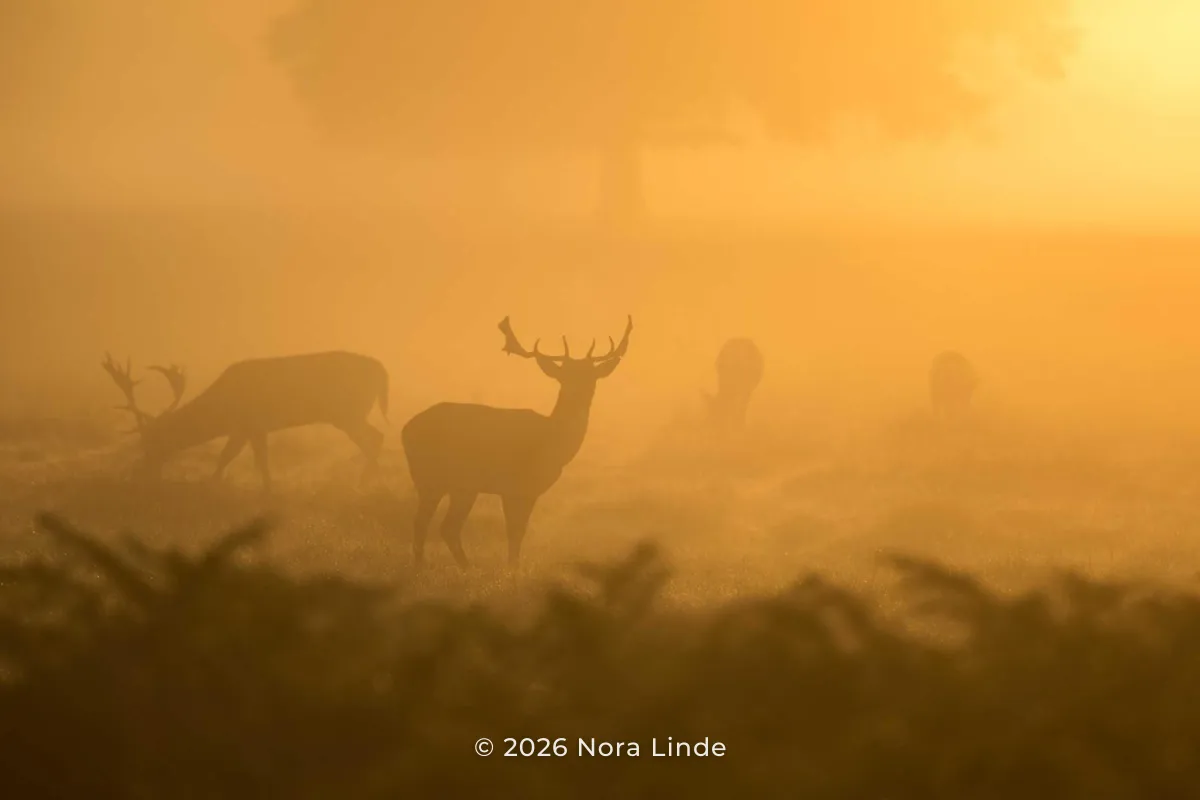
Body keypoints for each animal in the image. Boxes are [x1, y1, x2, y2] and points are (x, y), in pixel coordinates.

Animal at [101, 351, 389, 492]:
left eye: (153, 442)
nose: (139, 473)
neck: (222, 409)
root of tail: (382, 369)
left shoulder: (247, 424)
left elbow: (228, 456)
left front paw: (211, 484)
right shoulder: (253, 428)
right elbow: (258, 458)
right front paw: (267, 486)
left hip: (348, 412)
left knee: (375, 437)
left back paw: (365, 482)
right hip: (350, 413)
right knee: (375, 436)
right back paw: (368, 480)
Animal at [401, 315, 633, 569]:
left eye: (591, 376)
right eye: (564, 376)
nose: (579, 394)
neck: (552, 444)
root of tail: (406, 430)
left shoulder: (524, 490)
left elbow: (517, 531)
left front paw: (512, 566)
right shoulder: (516, 486)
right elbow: (515, 531)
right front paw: (513, 569)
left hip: (448, 484)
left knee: (432, 524)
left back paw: (440, 566)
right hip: (443, 479)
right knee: (437, 524)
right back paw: (451, 567)